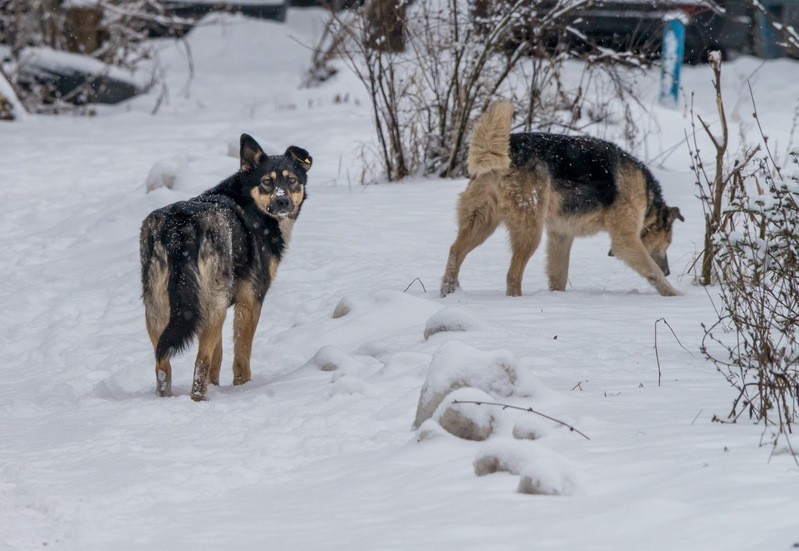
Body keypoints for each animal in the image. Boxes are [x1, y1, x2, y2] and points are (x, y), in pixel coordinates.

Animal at [141, 134, 310, 402]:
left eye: (292, 180)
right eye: (266, 182)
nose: (283, 200)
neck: (248, 201)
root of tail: (181, 227)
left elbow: (217, 357)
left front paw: (217, 385)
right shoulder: (250, 300)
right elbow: (241, 356)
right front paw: (243, 387)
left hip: (160, 307)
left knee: (163, 365)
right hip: (212, 304)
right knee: (200, 362)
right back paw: (199, 399)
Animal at [440, 99, 684, 298]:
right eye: (669, 243)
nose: (669, 271)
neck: (648, 201)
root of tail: (509, 150)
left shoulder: (561, 236)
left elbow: (558, 277)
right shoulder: (625, 241)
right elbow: (652, 271)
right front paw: (675, 294)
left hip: (481, 225)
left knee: (454, 252)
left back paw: (450, 290)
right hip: (530, 232)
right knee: (512, 275)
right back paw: (516, 301)